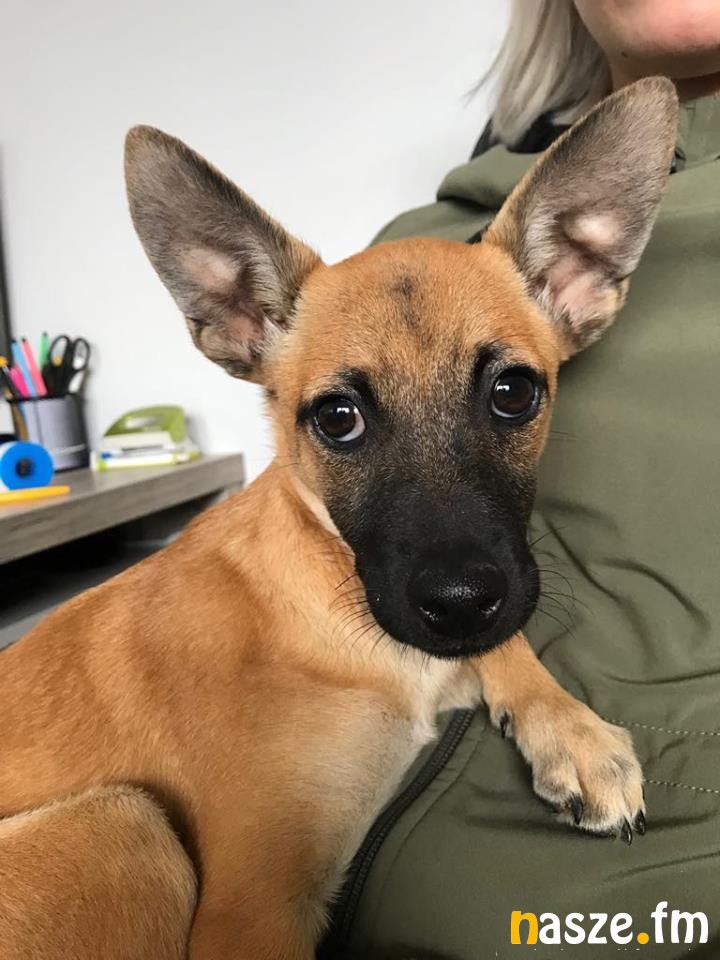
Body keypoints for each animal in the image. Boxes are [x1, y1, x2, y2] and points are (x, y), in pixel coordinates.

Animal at [0, 77, 677, 959]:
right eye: (337, 418)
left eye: (513, 392)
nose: (459, 602)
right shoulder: (249, 917)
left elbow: (506, 639)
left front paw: (573, 729)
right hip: (123, 824)